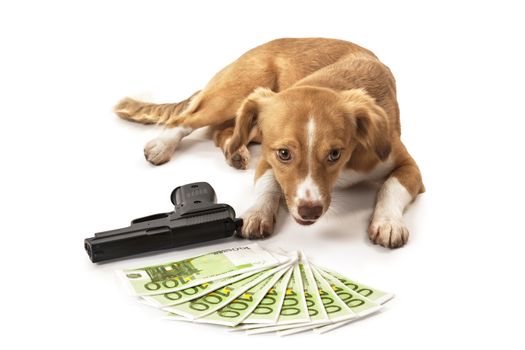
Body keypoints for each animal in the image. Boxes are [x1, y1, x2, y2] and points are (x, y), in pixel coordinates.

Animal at [113, 37, 422, 247]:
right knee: (187, 119)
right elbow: (268, 186)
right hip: (235, 94)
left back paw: (234, 151)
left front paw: (388, 222)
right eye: (284, 153)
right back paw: (162, 145)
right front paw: (257, 213)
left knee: (223, 132)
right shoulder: (267, 160)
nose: (309, 210)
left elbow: (391, 187)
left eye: (335, 154)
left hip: (247, 119)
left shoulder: (408, 165)